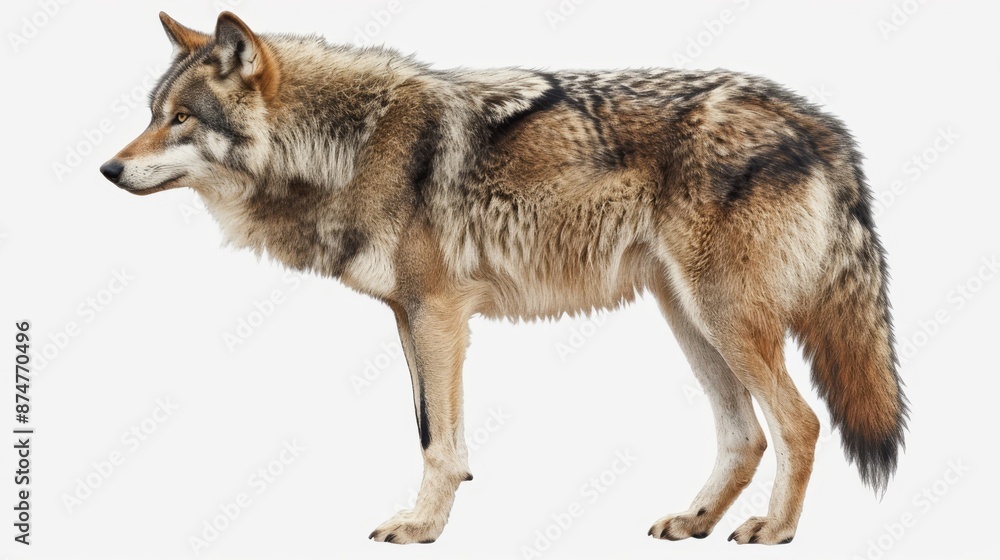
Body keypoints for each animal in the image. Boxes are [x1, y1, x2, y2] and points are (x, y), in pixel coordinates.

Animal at [100, 12, 907, 545]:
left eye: (181, 119)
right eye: (151, 114)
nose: (108, 169)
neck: (349, 145)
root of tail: (817, 120)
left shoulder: (438, 315)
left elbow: (437, 441)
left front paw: (421, 526)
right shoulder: (409, 316)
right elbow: (431, 430)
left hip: (724, 318)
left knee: (800, 423)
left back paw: (774, 530)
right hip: (689, 319)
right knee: (746, 435)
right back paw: (696, 520)